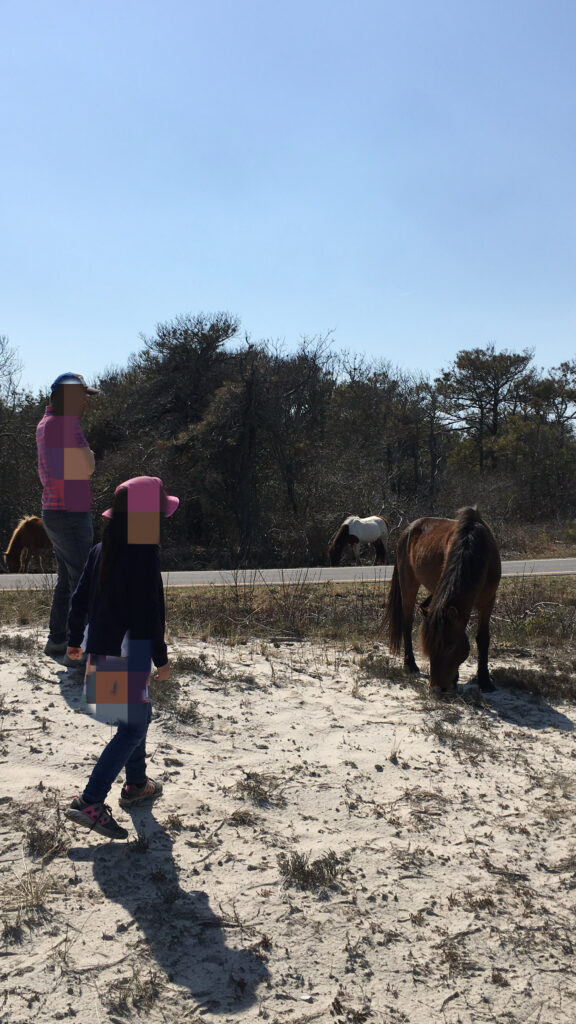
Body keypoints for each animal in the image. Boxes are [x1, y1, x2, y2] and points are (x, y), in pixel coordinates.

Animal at [383, 505, 500, 692]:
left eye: (450, 645)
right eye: (429, 646)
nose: (437, 688)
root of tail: (409, 529)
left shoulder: (488, 602)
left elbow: (483, 638)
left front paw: (484, 681)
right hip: (409, 584)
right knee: (407, 623)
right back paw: (410, 664)